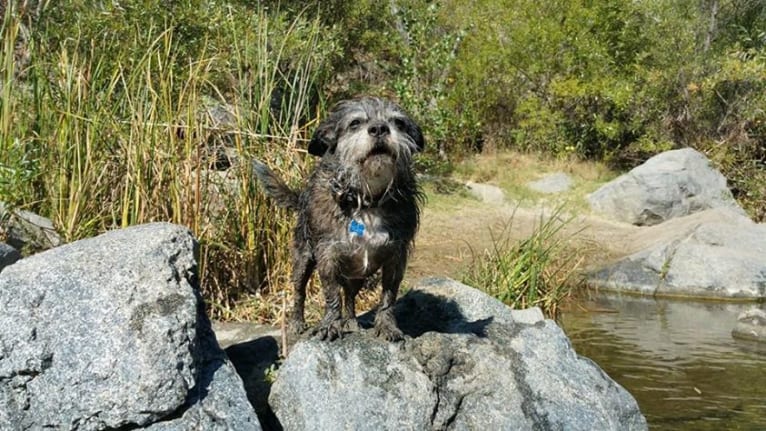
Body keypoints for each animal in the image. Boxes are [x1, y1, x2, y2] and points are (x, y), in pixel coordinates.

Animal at [254, 97, 426, 340]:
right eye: (355, 123)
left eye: (398, 123)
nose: (379, 128)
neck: (368, 200)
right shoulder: (327, 255)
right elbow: (332, 294)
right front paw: (330, 325)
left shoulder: (396, 256)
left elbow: (388, 296)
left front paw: (387, 326)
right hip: (303, 259)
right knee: (299, 292)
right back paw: (297, 323)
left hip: (358, 275)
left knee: (350, 296)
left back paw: (351, 322)